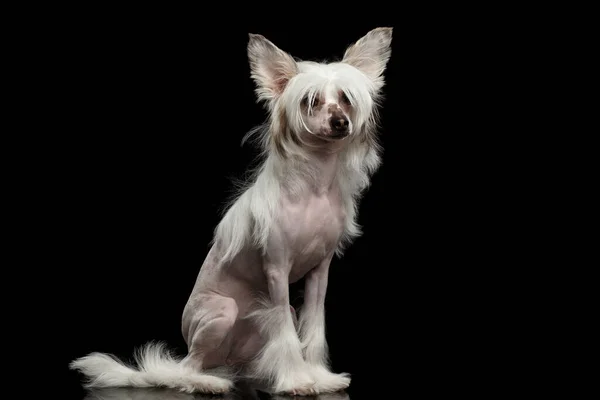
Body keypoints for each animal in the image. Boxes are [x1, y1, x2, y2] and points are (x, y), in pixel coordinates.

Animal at [70, 26, 394, 396]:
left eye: (345, 99)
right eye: (310, 102)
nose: (340, 122)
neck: (314, 187)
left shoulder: (319, 272)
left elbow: (313, 325)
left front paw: (318, 376)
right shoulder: (277, 269)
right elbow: (285, 326)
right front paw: (297, 380)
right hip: (221, 312)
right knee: (187, 368)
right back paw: (206, 382)